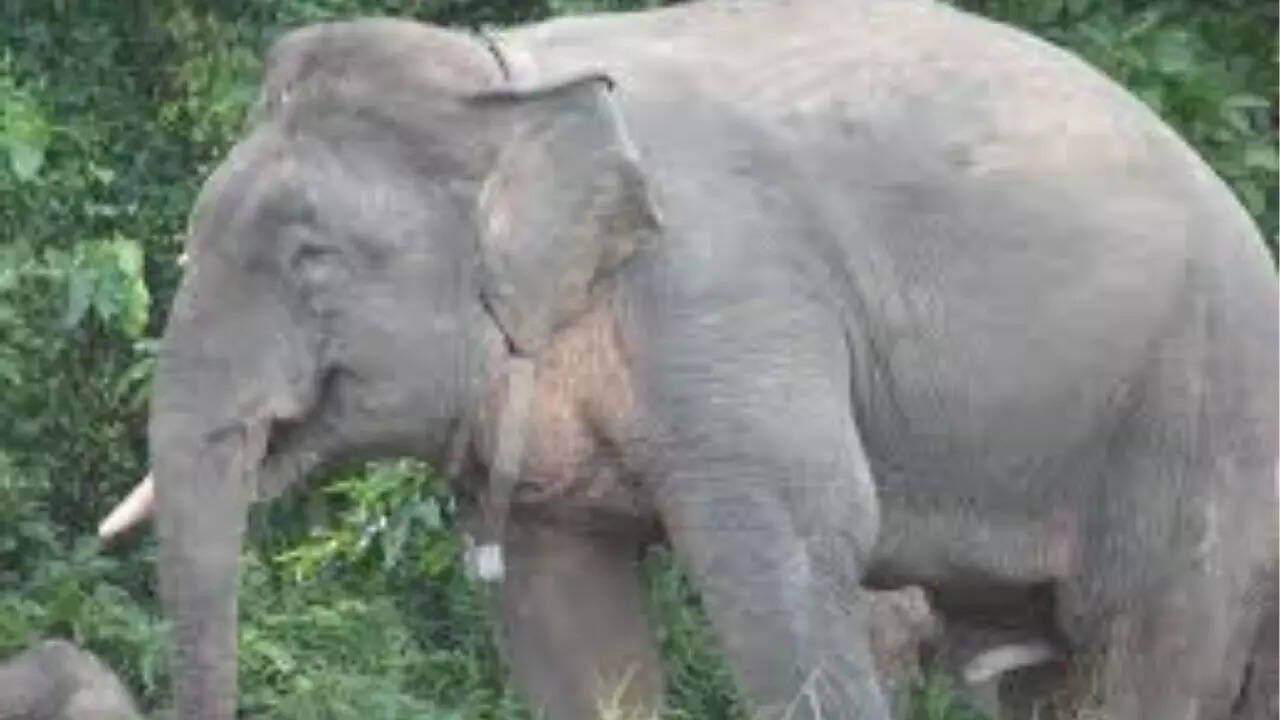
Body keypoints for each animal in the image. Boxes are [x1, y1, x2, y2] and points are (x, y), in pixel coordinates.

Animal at [98, 0, 1278, 717]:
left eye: (310, 259)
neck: (504, 79)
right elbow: (561, 603)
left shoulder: (731, 301)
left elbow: (793, 549)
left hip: (1199, 425)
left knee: (1149, 648)